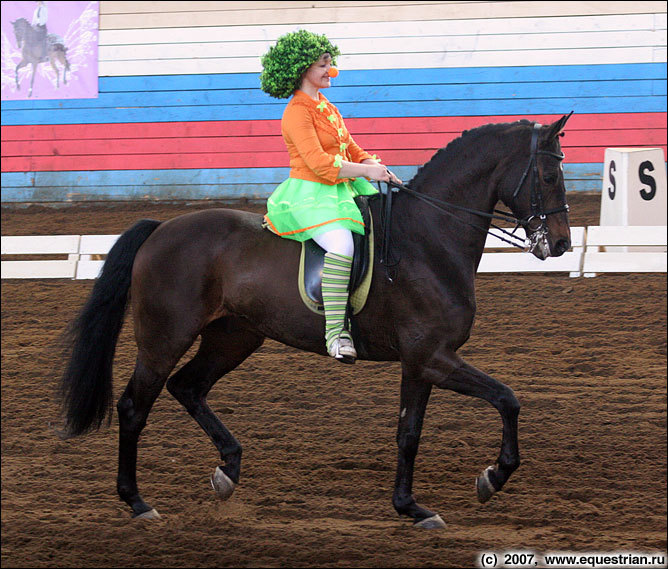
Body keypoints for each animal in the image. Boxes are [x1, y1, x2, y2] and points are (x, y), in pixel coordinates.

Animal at [58, 113, 576, 524]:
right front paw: (492, 476)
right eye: (550, 175)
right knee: (135, 407)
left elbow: (409, 432)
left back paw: (228, 471)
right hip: (164, 338)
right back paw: (138, 503)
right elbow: (507, 399)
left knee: (188, 386)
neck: (429, 239)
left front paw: (411, 507)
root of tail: (161, 228)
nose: (562, 244)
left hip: (234, 337)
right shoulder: (433, 357)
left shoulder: (421, 362)